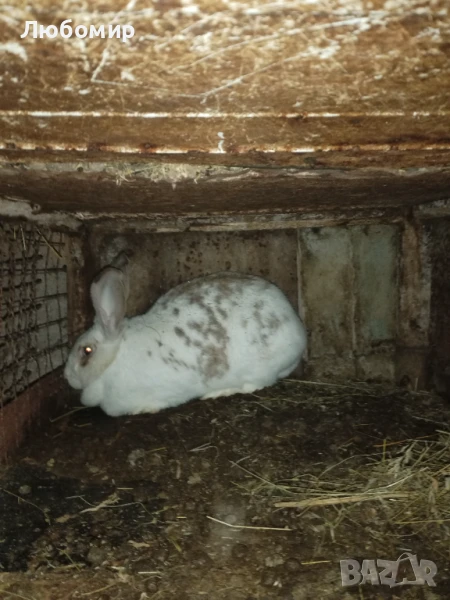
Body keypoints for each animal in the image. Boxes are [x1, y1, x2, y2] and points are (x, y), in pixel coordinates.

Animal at [64, 253, 307, 416]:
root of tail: (297, 328)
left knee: (256, 384)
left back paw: (218, 392)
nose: (66, 376)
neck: (113, 359)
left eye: (86, 351)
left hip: (258, 368)